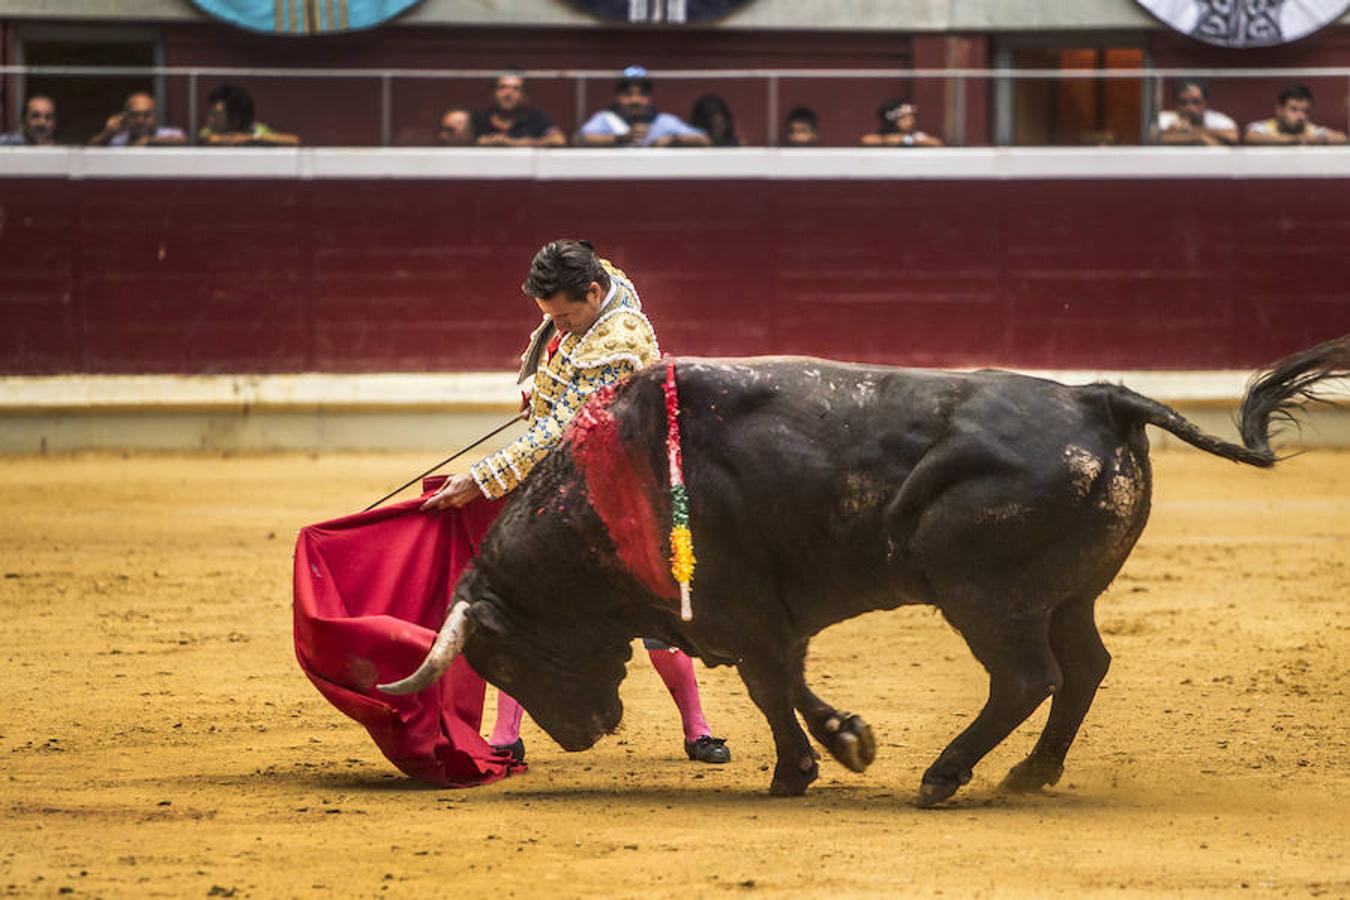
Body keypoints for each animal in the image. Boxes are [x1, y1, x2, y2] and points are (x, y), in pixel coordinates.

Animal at [380, 335, 1350, 804]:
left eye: (502, 657)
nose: (585, 734)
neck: (608, 487)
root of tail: (1096, 396)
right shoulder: (751, 618)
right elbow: (787, 680)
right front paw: (841, 743)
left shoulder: (740, 611)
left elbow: (773, 686)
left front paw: (813, 763)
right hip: (1067, 592)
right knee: (1083, 667)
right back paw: (1028, 774)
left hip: (985, 595)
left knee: (1027, 676)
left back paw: (946, 777)